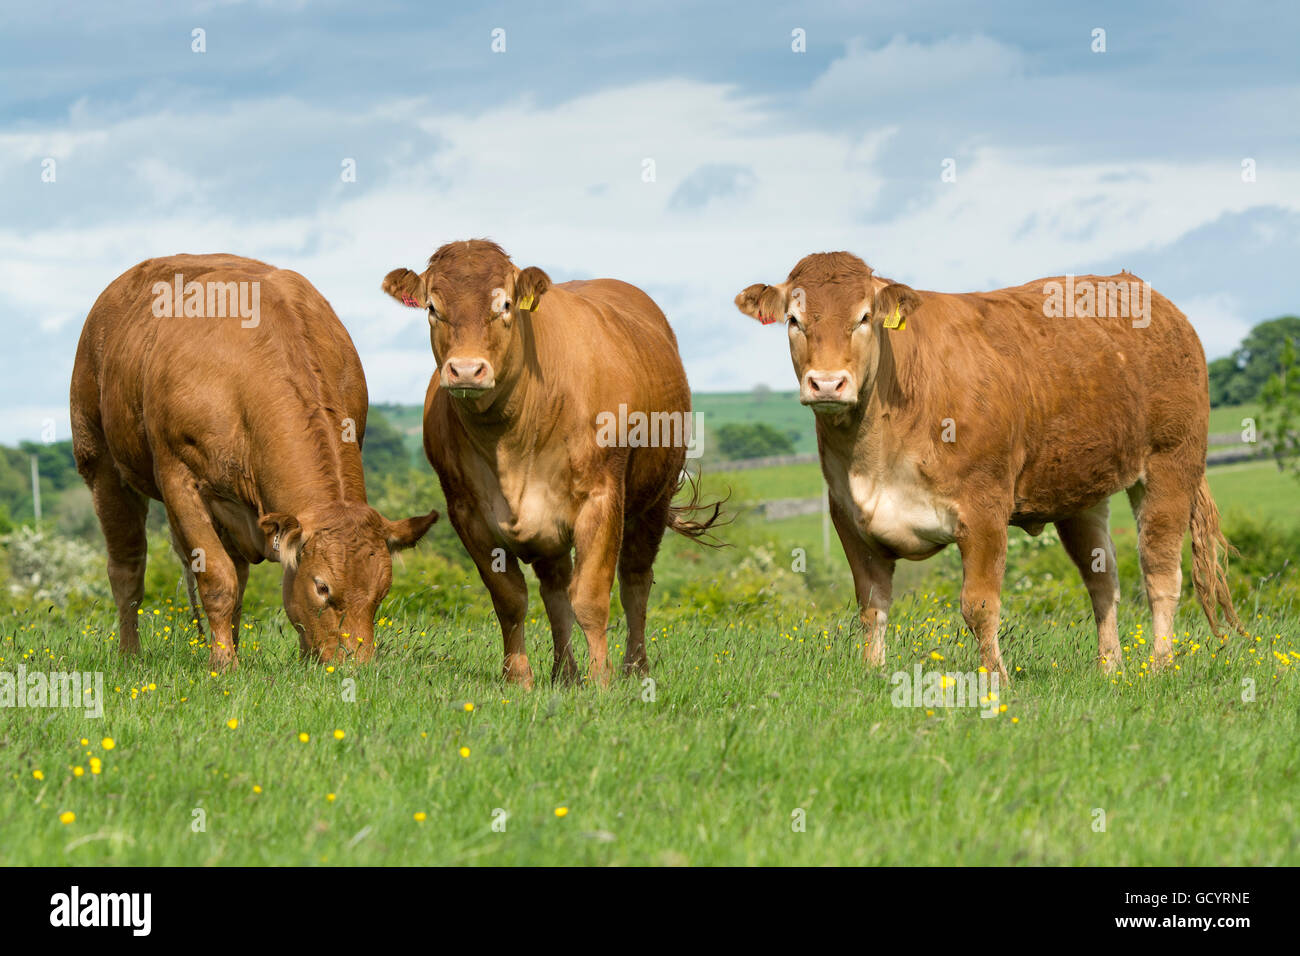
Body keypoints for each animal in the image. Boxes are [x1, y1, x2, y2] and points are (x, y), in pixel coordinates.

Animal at [71, 254, 436, 671]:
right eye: (322, 587)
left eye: (382, 591)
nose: (354, 666)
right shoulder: (178, 477)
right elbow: (217, 579)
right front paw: (223, 664)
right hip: (101, 464)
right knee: (127, 568)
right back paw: (131, 655)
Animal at [379, 239, 722, 686]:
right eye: (432, 307)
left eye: (506, 305)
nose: (467, 370)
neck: (511, 437)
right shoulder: (467, 514)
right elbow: (510, 599)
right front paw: (519, 680)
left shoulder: (601, 498)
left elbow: (591, 597)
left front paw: (602, 681)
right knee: (555, 591)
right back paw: (564, 674)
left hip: (653, 499)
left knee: (634, 582)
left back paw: (634, 667)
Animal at [738, 251, 1242, 686]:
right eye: (793, 320)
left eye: (864, 317)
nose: (827, 384)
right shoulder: (849, 517)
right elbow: (872, 606)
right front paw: (873, 673)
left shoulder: (983, 511)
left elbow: (979, 606)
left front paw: (995, 679)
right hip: (1081, 491)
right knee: (1103, 579)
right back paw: (1110, 668)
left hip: (1171, 465)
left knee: (1161, 572)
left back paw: (1159, 666)